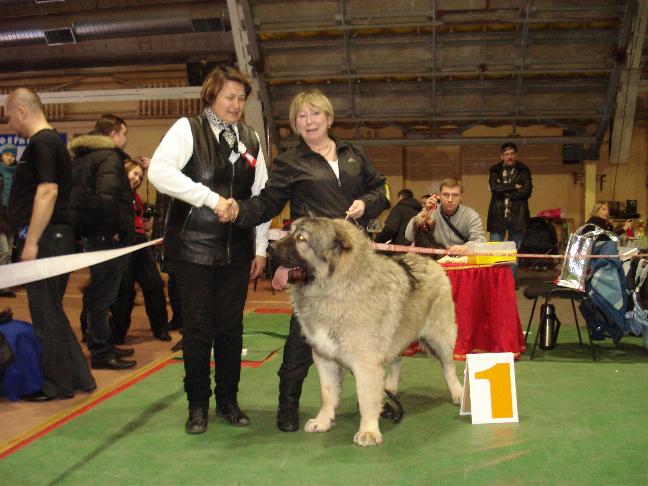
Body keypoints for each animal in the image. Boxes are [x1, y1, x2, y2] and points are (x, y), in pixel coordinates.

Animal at [268, 218, 460, 446]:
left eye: (301, 238)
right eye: (289, 232)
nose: (270, 248)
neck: (336, 287)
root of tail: (428, 259)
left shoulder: (365, 363)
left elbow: (366, 397)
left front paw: (368, 431)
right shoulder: (324, 358)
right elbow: (328, 393)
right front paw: (323, 421)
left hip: (438, 337)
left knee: (448, 367)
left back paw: (458, 393)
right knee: (396, 359)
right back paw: (390, 387)